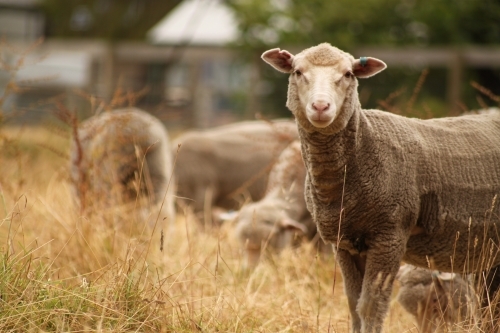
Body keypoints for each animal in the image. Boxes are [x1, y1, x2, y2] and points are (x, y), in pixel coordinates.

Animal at [262, 42, 500, 332]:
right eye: (297, 72)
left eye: (348, 74)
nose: (320, 106)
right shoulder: (345, 243)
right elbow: (353, 304)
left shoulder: (389, 234)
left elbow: (371, 306)